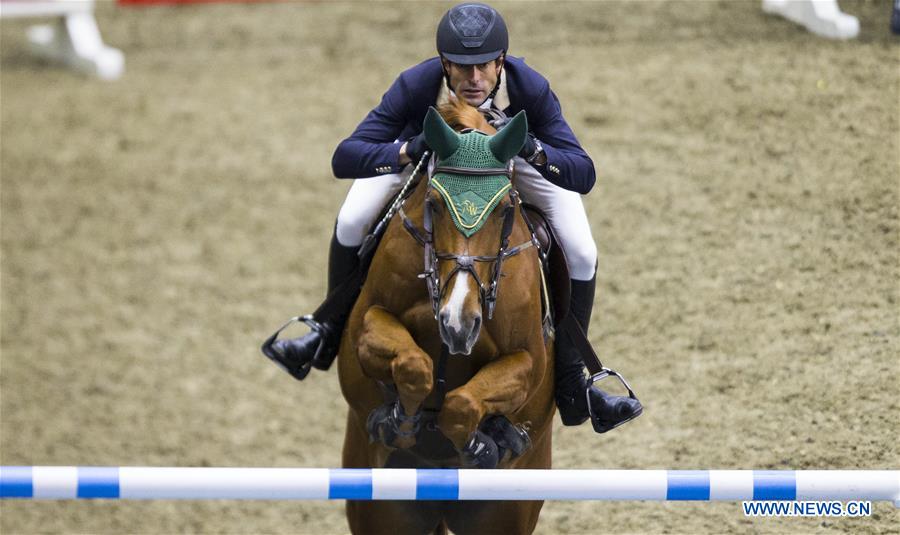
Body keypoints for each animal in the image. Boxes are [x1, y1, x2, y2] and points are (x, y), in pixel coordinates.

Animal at [334, 97, 552, 535]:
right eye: (433, 204)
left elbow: (463, 403)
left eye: (505, 209)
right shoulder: (366, 324)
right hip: (382, 509)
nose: (457, 324)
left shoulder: (529, 360)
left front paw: (481, 445)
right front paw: (398, 419)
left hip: (506, 512)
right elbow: (413, 364)